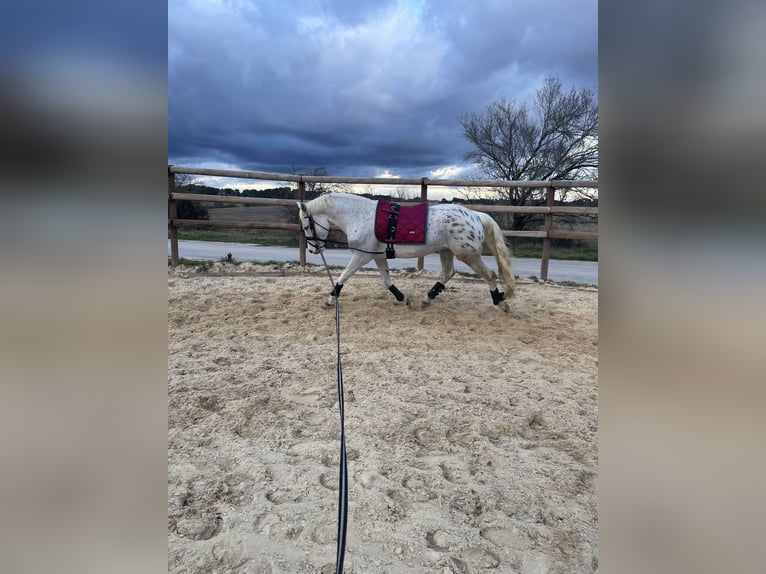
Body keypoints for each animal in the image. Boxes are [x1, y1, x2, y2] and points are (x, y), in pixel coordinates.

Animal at [296, 192, 520, 310]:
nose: (313, 249)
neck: (360, 216)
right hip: (446, 251)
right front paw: (403, 298)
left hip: (467, 254)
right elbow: (386, 280)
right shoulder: (378, 256)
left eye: (306, 225)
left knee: (489, 274)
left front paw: (330, 299)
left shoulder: (361, 256)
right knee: (448, 273)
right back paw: (426, 299)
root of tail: (475, 215)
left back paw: (500, 302)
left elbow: (343, 276)